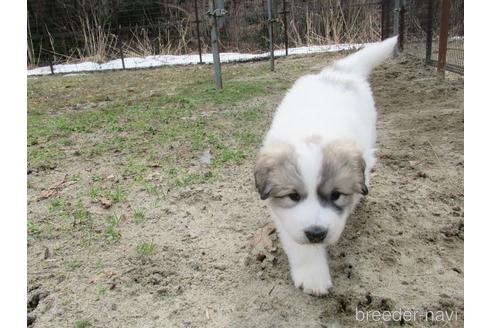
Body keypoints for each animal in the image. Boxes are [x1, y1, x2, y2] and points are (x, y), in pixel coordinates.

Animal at [254, 37, 396, 296]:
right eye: (293, 196)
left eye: (336, 194)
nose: (316, 233)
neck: (313, 131)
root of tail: (338, 73)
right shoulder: (285, 216)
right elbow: (299, 241)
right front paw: (313, 275)